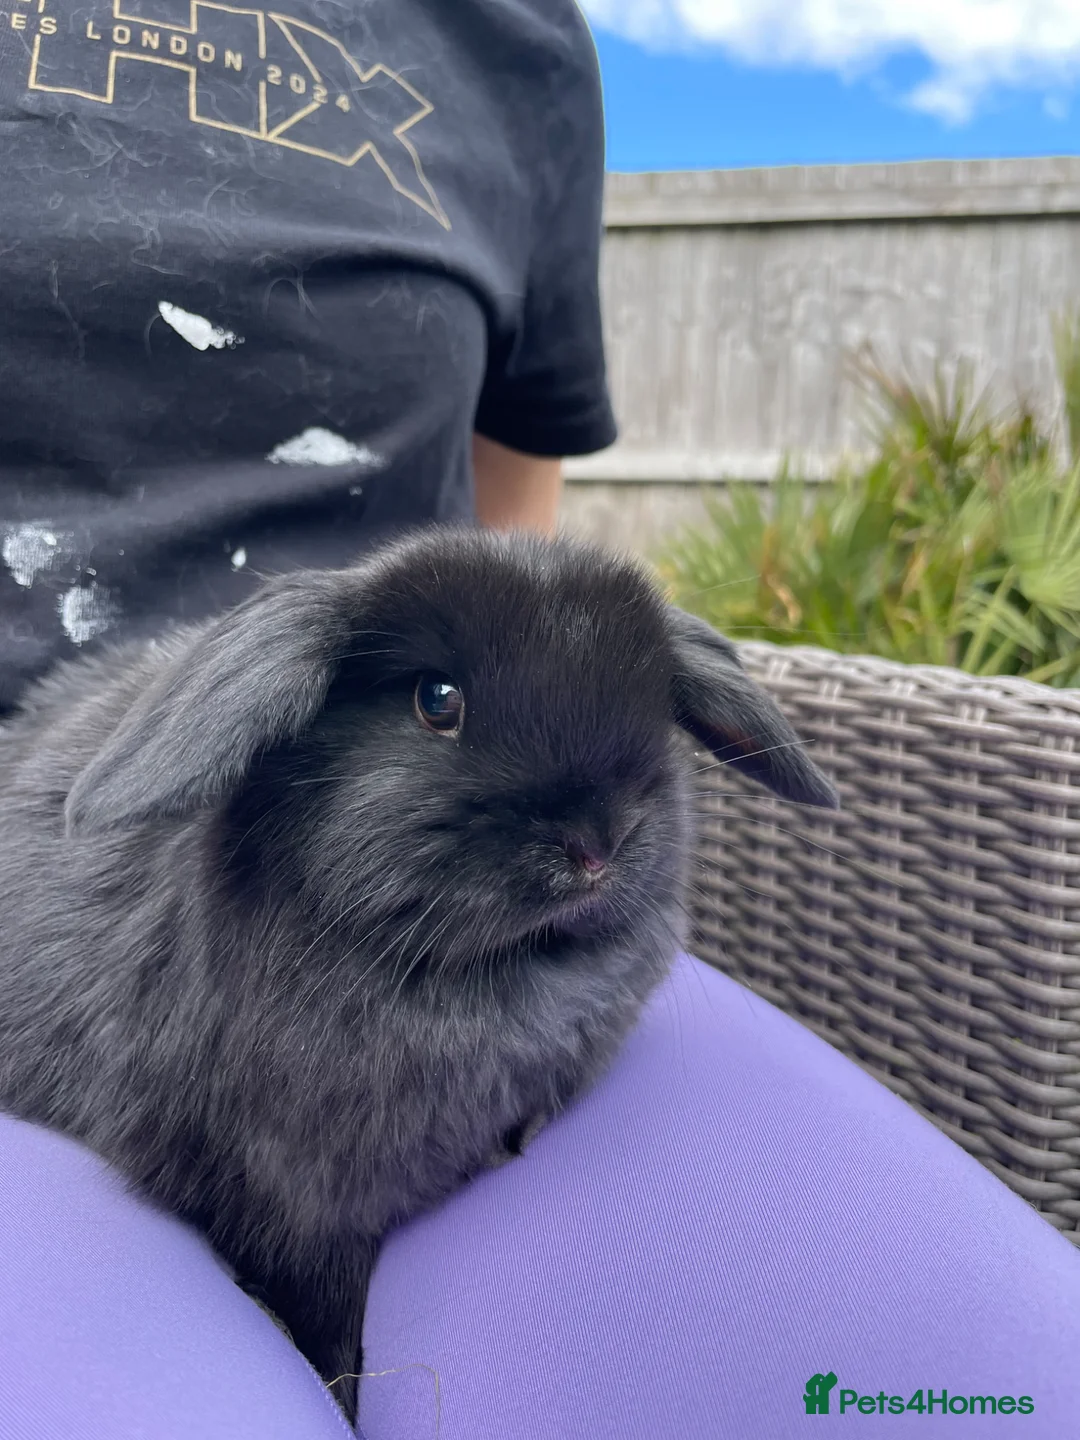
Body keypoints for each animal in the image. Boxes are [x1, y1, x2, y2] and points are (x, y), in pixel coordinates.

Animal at [0, 526, 837, 1424]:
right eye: (437, 700)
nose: (596, 845)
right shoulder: (306, 1216)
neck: (502, 972)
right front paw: (338, 1394)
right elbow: (328, 1320)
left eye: (650, 703)